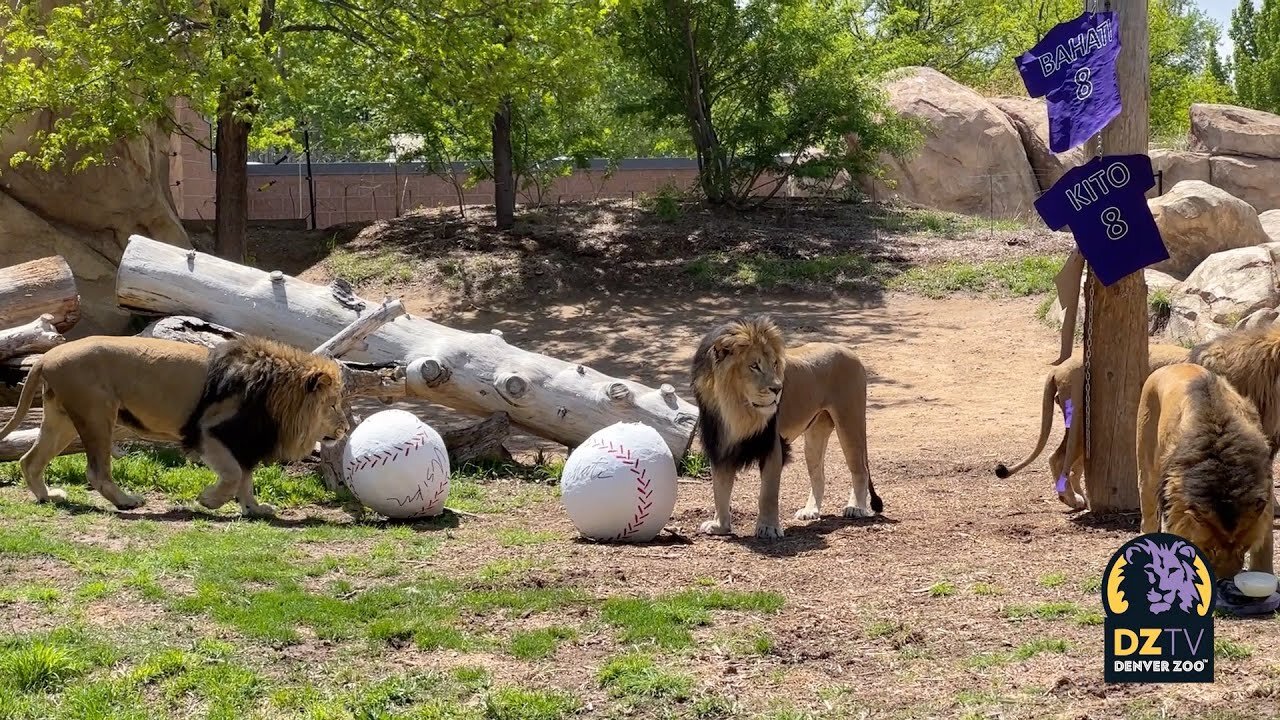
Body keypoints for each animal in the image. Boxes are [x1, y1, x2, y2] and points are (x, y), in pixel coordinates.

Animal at [0, 335, 348, 515]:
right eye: (333, 405)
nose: (345, 428)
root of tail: (46, 356)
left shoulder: (244, 441)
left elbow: (246, 478)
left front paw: (254, 509)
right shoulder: (208, 432)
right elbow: (234, 475)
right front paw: (209, 500)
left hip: (62, 421)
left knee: (29, 460)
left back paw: (47, 496)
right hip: (97, 413)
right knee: (96, 471)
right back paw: (127, 501)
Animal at [691, 313, 880, 538]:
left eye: (774, 364)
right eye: (754, 366)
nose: (778, 388)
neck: (737, 410)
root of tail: (851, 352)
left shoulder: (772, 445)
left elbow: (768, 493)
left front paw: (768, 528)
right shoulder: (720, 444)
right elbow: (719, 489)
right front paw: (720, 525)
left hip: (849, 422)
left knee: (860, 469)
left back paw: (856, 507)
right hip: (814, 436)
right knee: (819, 475)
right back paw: (810, 511)